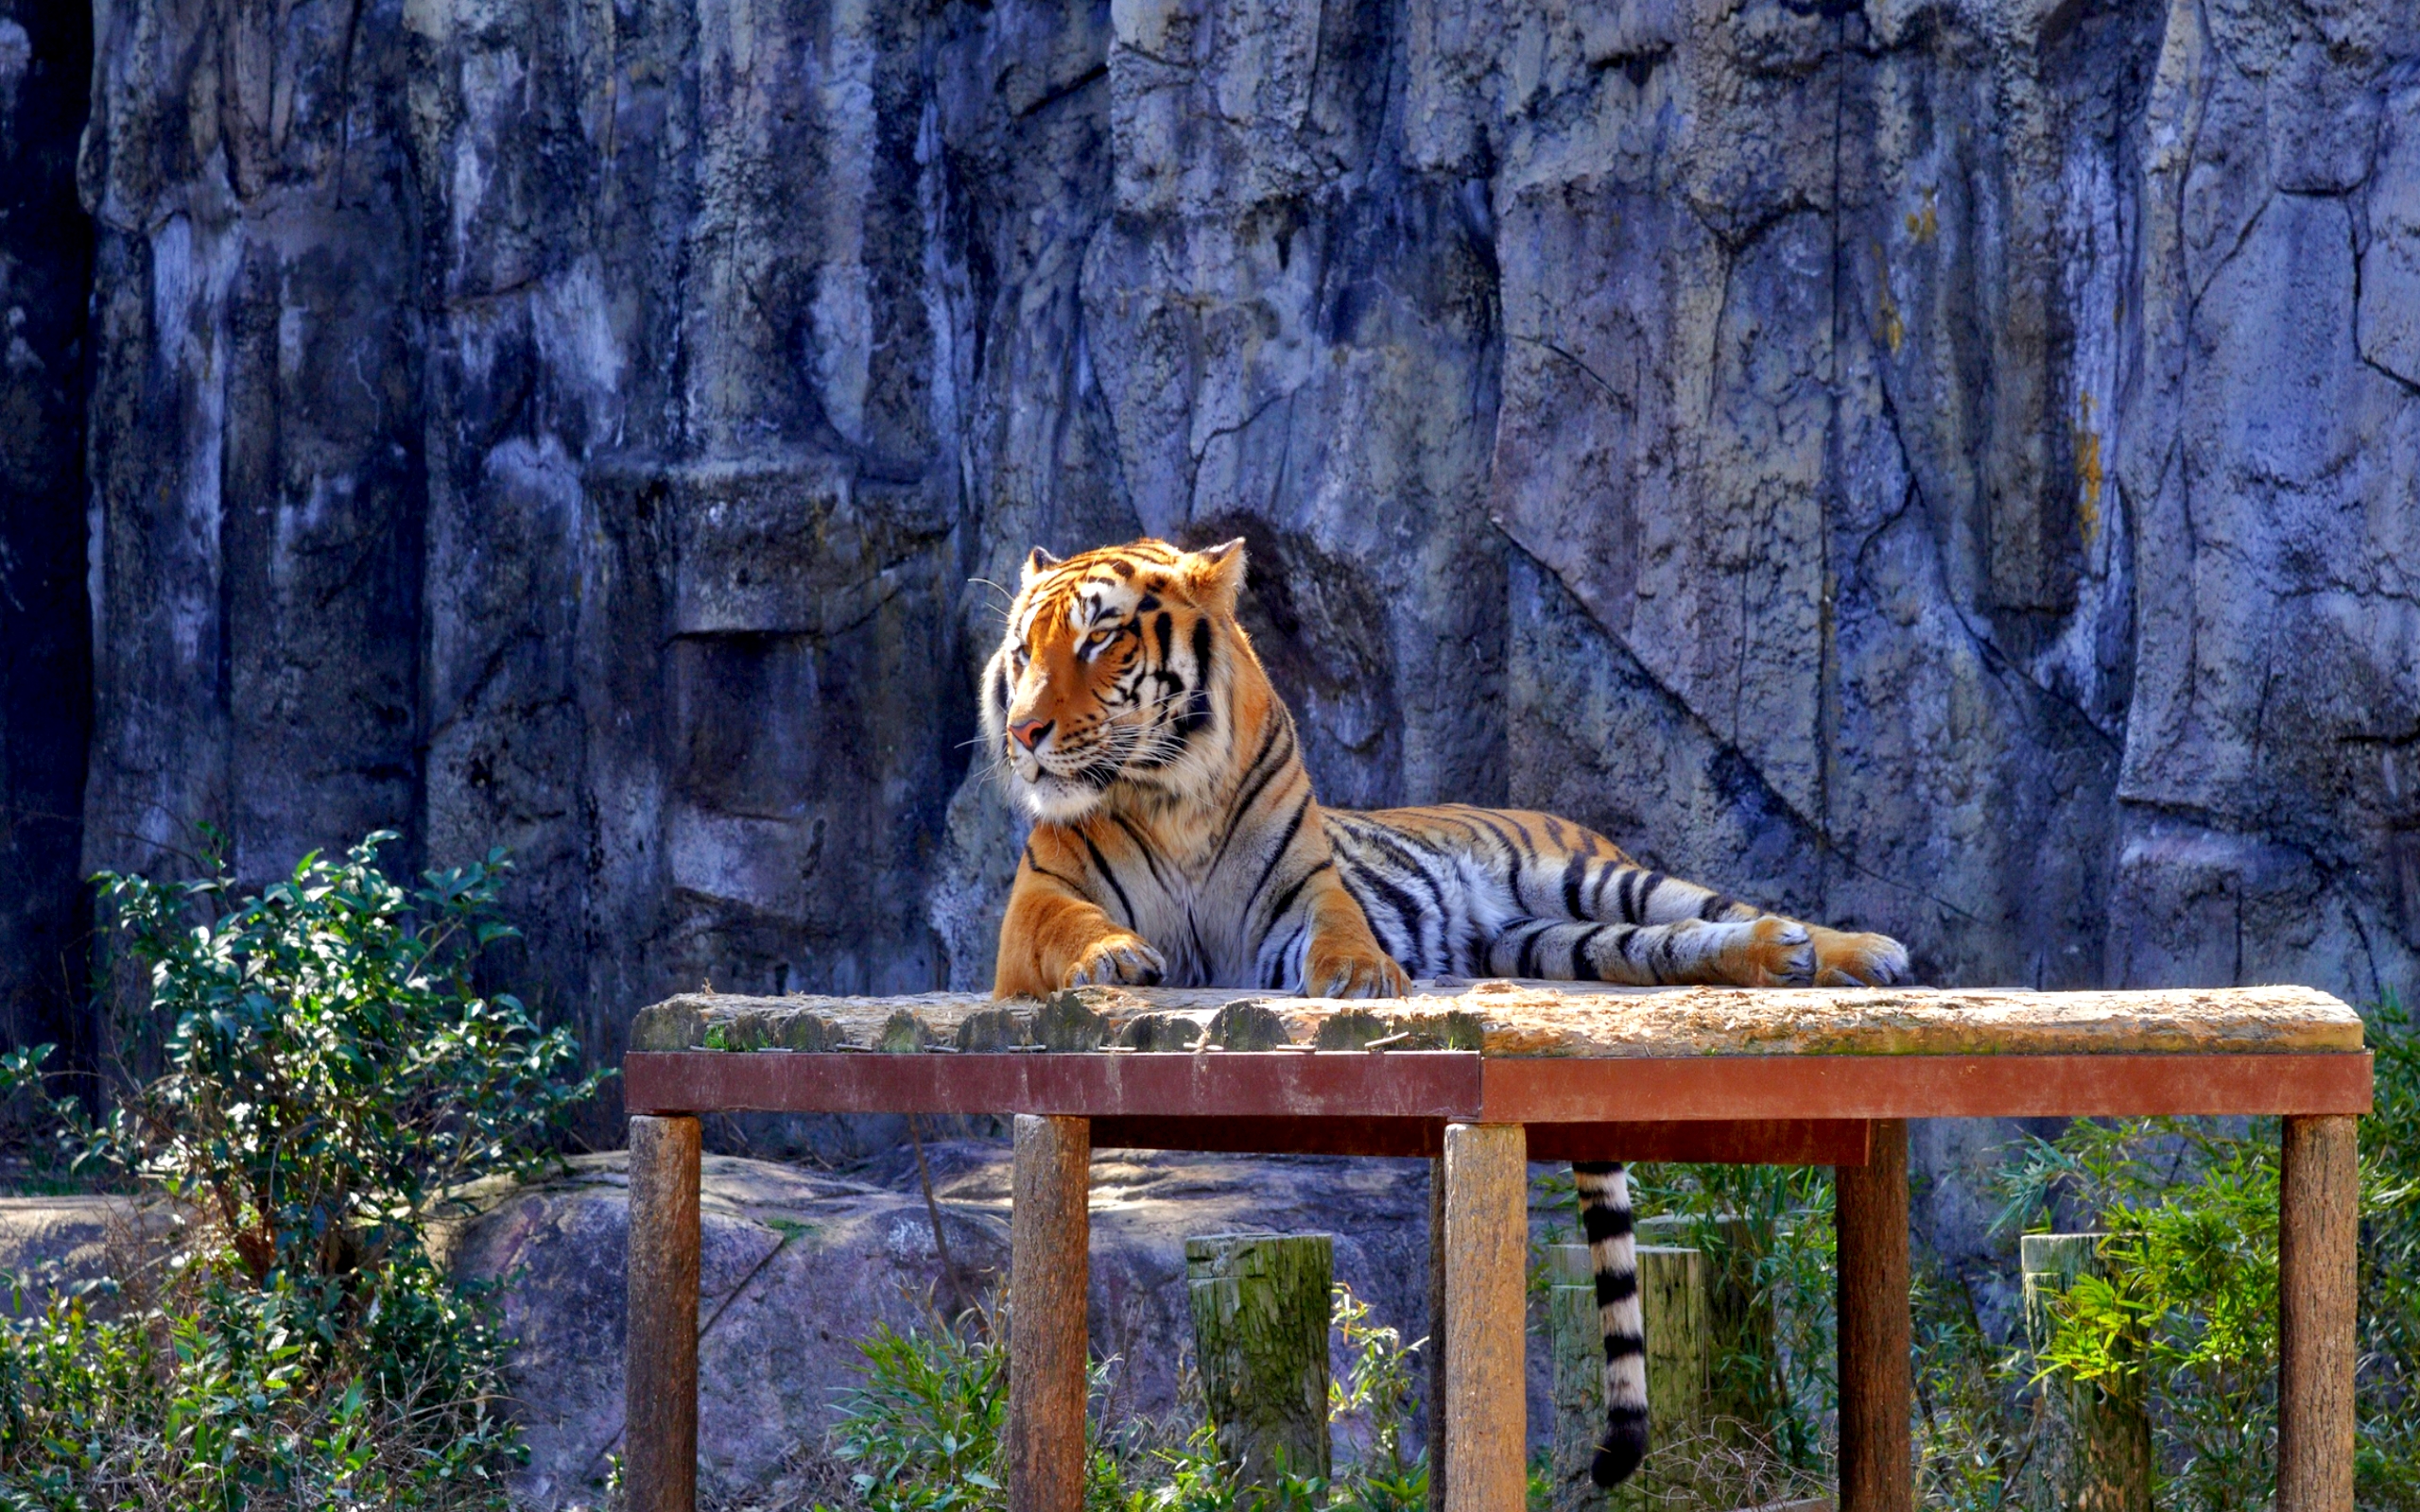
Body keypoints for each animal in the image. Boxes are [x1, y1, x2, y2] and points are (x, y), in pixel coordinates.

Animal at [977, 537, 1907, 1480]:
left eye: (1100, 639)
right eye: (1022, 652)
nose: (1023, 734)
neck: (1169, 796)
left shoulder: (1302, 895)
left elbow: (1340, 929)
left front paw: (1360, 979)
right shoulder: (1035, 906)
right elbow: (1071, 924)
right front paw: (1114, 956)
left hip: (1596, 879)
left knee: (1709, 908)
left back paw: (1854, 951)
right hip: (1558, 943)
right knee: (1668, 945)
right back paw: (1789, 955)